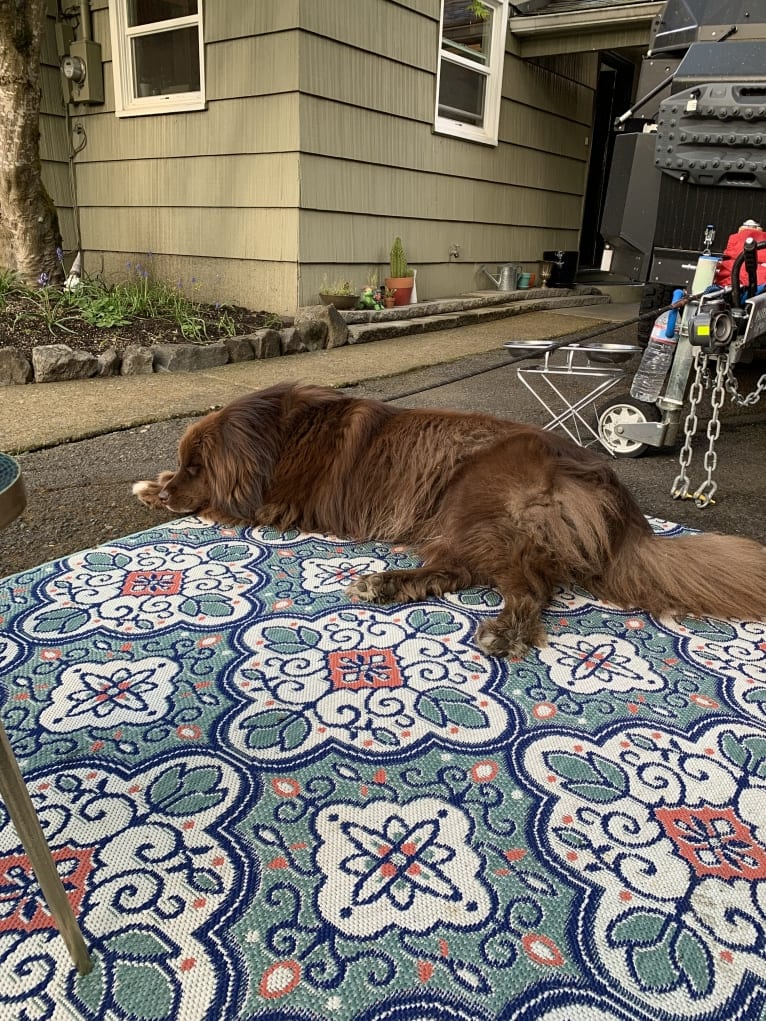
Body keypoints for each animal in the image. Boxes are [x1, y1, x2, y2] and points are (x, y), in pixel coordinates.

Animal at [133, 379, 766, 657]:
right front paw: (151, 485)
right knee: (461, 572)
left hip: (473, 501)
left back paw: (497, 629)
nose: (174, 489)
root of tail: (611, 487)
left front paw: (160, 491)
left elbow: (224, 508)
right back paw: (387, 585)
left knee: (526, 587)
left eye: (197, 466)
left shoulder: (278, 505)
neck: (278, 434)